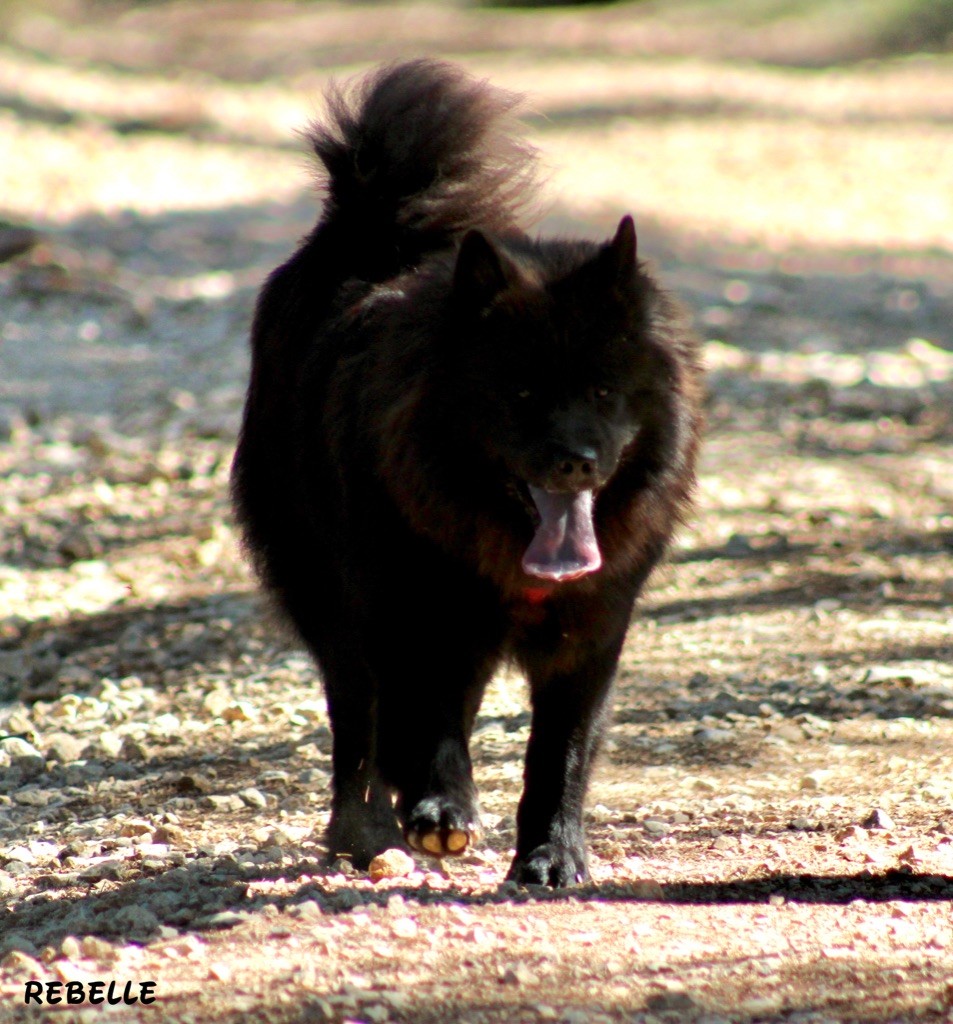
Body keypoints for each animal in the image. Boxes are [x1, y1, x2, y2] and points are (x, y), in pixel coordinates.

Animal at [234, 58, 704, 888]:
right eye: (519, 393)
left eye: (602, 392)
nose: (574, 459)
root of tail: (367, 228)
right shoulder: (410, 613)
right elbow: (423, 726)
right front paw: (440, 812)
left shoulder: (590, 635)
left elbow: (560, 755)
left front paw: (552, 854)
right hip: (327, 597)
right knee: (354, 722)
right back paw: (364, 831)